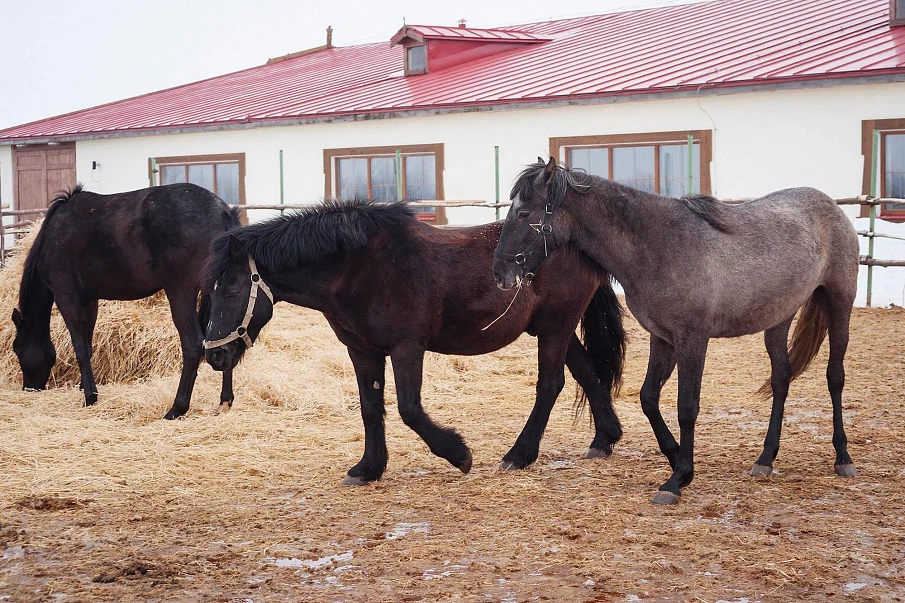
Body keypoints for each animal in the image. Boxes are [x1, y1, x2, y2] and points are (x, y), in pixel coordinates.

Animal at [13, 183, 240, 420]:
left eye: (17, 349)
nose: (29, 387)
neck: (53, 236)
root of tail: (221, 209)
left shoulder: (67, 297)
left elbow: (80, 349)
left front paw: (90, 397)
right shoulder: (90, 301)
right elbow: (88, 345)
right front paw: (86, 388)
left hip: (180, 292)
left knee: (193, 344)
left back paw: (177, 408)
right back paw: (225, 400)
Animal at [201, 201, 624, 484]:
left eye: (233, 290)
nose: (215, 355)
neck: (359, 267)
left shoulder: (406, 346)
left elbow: (409, 409)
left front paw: (459, 454)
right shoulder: (362, 350)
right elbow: (371, 408)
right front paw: (368, 468)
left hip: (555, 326)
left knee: (550, 385)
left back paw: (519, 455)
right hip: (553, 328)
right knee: (587, 373)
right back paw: (604, 440)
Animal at [490, 157, 860, 504]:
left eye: (523, 212)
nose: (500, 273)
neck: (660, 245)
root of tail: (830, 205)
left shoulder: (692, 340)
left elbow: (687, 406)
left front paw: (676, 479)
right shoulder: (663, 338)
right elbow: (648, 398)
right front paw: (677, 460)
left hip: (839, 303)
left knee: (835, 377)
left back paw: (843, 457)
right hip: (779, 318)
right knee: (781, 378)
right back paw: (765, 459)